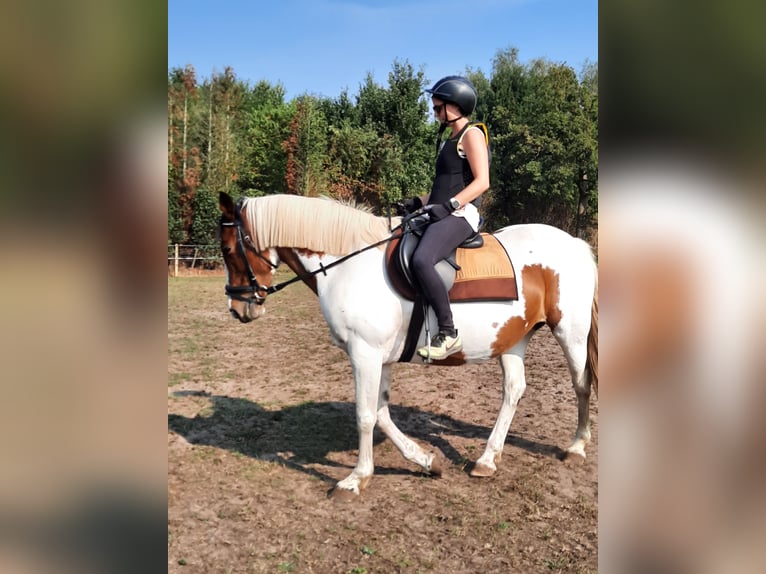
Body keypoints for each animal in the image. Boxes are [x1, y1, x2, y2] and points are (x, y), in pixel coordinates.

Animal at [218, 192, 600, 500]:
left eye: (228, 249)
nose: (237, 308)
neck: (348, 264)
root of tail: (575, 243)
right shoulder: (380, 359)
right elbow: (382, 414)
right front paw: (427, 461)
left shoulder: (365, 354)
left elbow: (365, 415)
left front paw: (356, 480)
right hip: (514, 338)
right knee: (514, 390)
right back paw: (487, 459)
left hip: (570, 332)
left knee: (581, 384)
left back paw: (577, 446)